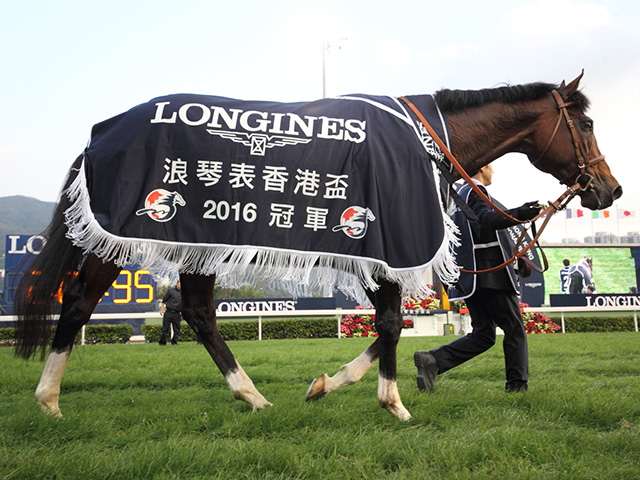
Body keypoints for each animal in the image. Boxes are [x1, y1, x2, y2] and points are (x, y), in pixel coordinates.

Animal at [12, 71, 624, 420]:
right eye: (587, 124)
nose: (609, 188)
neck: (425, 140)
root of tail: (102, 132)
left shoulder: (376, 250)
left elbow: (389, 325)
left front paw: (329, 384)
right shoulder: (386, 243)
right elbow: (391, 323)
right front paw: (393, 403)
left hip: (197, 241)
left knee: (200, 314)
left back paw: (252, 396)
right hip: (121, 236)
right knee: (81, 303)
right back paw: (48, 400)